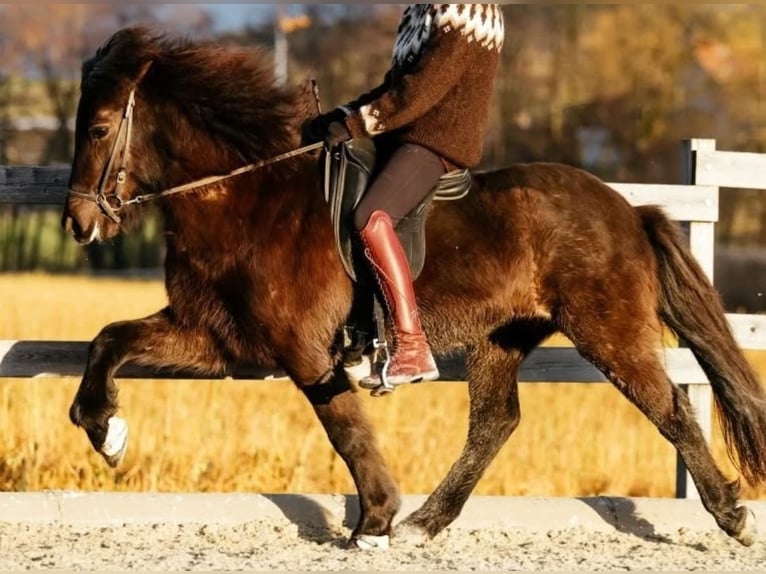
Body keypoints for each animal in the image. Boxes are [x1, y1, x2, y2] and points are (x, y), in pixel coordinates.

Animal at [61, 25, 766, 548]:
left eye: (97, 128)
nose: (78, 223)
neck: (248, 197)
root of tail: (628, 210)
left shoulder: (302, 350)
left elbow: (343, 426)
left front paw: (374, 518)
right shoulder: (215, 337)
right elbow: (109, 339)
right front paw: (105, 431)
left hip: (607, 330)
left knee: (669, 408)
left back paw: (732, 515)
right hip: (502, 337)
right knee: (495, 422)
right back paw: (427, 522)